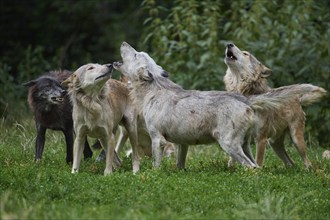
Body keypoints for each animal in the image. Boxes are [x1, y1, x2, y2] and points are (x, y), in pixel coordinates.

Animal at [113, 42, 300, 169]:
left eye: (136, 54)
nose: (123, 43)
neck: (153, 91)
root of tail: (244, 99)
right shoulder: (183, 144)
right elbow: (180, 165)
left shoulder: (158, 139)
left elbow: (155, 166)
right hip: (245, 146)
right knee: (257, 166)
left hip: (229, 145)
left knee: (252, 167)